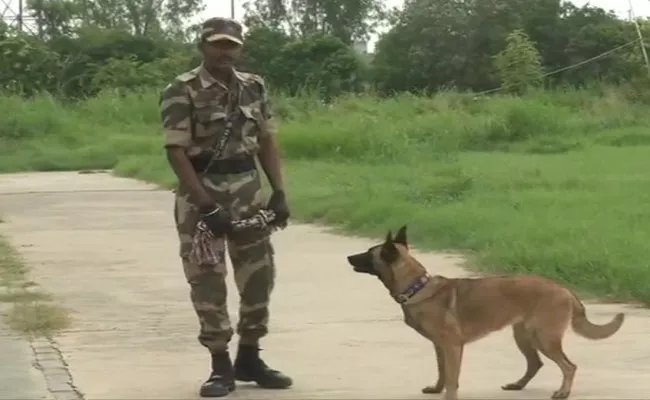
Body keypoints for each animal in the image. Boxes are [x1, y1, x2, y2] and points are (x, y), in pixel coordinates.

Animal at [344, 225, 624, 400]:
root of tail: (564, 289)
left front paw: (450, 395)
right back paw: (517, 385)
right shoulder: (440, 346)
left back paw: (563, 392)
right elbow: (442, 372)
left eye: (368, 253)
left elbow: (452, 377)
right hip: (524, 336)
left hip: (544, 337)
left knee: (568, 366)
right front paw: (437, 388)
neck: (416, 286)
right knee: (535, 363)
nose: (347, 257)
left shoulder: (452, 346)